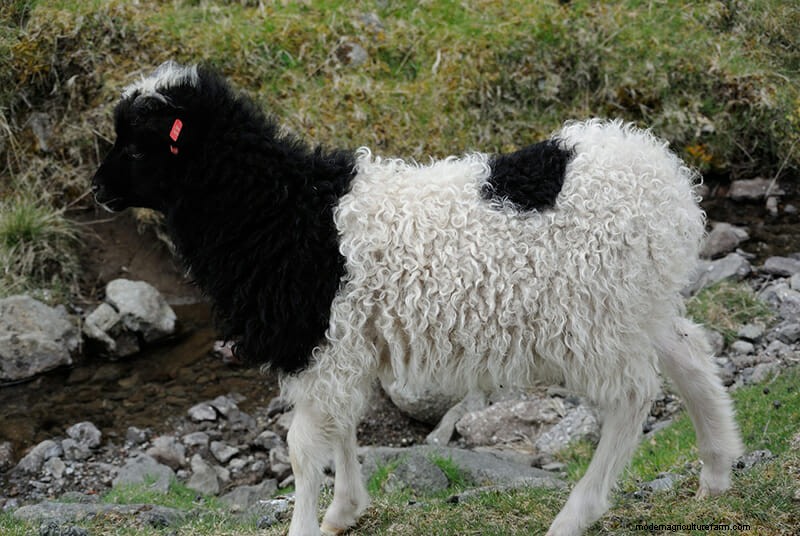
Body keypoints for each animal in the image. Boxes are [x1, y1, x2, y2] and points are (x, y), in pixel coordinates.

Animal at [92, 61, 743, 536]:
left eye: (137, 146)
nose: (96, 190)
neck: (278, 209)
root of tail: (665, 177)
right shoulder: (342, 344)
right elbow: (340, 426)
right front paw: (343, 512)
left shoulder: (317, 339)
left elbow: (302, 446)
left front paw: (307, 524)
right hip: (638, 304)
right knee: (690, 355)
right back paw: (716, 471)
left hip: (591, 320)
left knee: (633, 396)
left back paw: (575, 515)